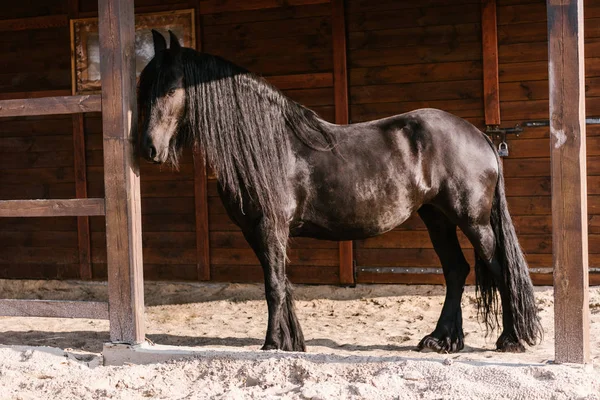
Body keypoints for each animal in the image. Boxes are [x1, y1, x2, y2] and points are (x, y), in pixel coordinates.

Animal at [137, 31, 544, 354]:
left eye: (171, 88)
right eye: (143, 88)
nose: (149, 149)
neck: (271, 145)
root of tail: (478, 135)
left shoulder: (270, 227)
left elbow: (273, 286)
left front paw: (272, 344)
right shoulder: (256, 232)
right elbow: (279, 282)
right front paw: (290, 342)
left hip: (472, 220)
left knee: (498, 266)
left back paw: (510, 339)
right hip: (437, 217)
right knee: (456, 270)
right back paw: (442, 340)